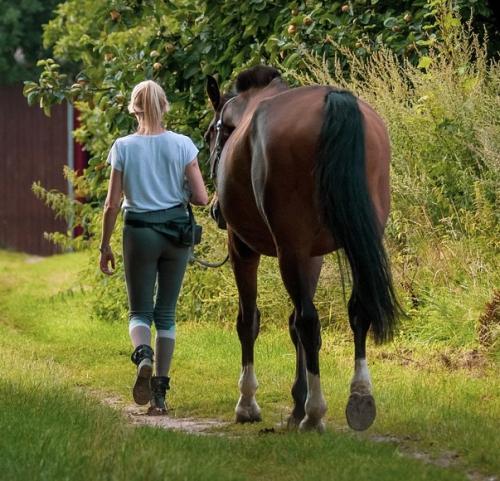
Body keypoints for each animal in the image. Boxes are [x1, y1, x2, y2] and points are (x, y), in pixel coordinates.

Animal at [205, 64, 400, 432]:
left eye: (213, 134)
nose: (215, 211)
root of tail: (333, 100)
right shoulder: (313, 257)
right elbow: (295, 323)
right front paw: (296, 403)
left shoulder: (244, 248)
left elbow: (250, 321)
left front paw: (248, 403)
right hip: (359, 239)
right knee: (355, 311)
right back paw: (359, 399)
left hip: (288, 250)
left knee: (309, 320)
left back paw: (315, 413)